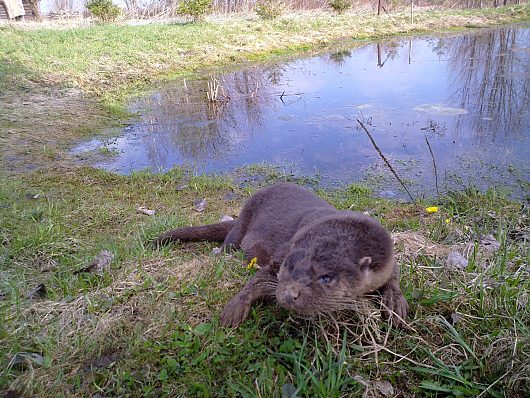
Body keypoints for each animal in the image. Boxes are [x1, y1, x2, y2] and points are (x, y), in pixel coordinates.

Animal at [154, 183, 408, 326]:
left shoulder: (387, 259)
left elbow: (394, 277)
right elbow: (259, 279)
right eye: (288, 267)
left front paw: (395, 303)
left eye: (325, 278)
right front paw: (236, 306)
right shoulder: (283, 252)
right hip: (241, 224)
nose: (288, 294)